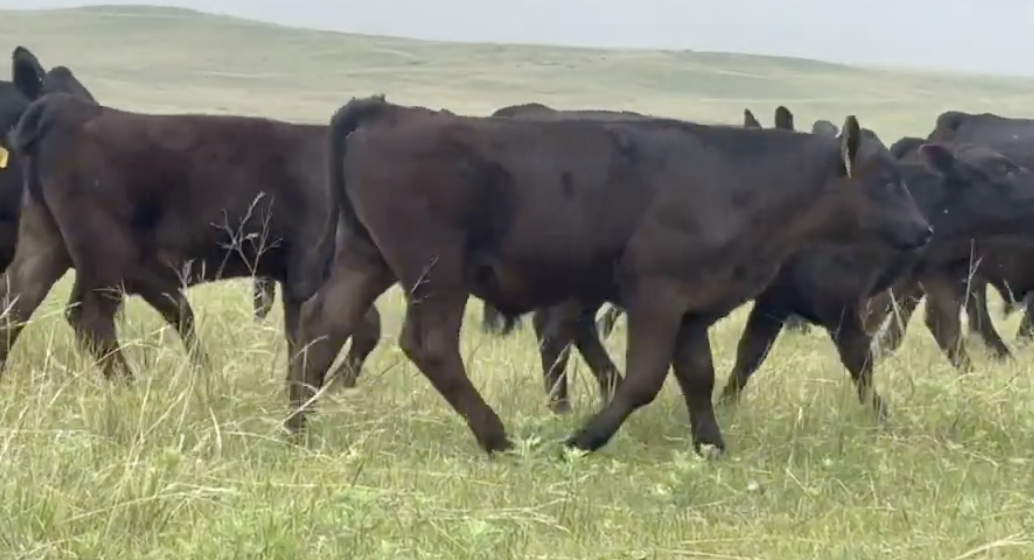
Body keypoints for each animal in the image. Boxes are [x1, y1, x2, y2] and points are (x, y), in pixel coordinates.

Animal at [0, 92, 374, 387]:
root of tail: (67, 109)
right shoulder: (308, 274)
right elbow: (347, 330)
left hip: (47, 244)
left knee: (16, 302)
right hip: (104, 258)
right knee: (89, 318)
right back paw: (129, 386)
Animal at [290, 94, 931, 456]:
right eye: (887, 181)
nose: (925, 230)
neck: (736, 178)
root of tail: (390, 114)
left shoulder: (693, 308)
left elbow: (698, 376)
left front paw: (711, 445)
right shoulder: (656, 297)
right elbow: (645, 378)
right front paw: (584, 439)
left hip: (366, 258)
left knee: (324, 324)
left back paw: (297, 425)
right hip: (436, 273)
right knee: (429, 345)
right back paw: (497, 437)